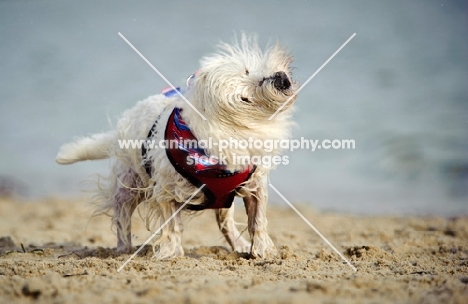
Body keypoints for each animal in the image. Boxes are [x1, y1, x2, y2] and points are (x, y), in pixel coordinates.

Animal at [54, 35, 296, 258]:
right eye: (244, 77)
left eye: (250, 69)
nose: (281, 77)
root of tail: (124, 124)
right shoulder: (168, 191)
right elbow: (171, 226)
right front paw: (171, 252)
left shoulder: (254, 186)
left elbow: (258, 221)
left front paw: (263, 250)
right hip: (129, 184)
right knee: (122, 217)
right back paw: (124, 249)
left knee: (225, 222)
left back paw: (239, 244)